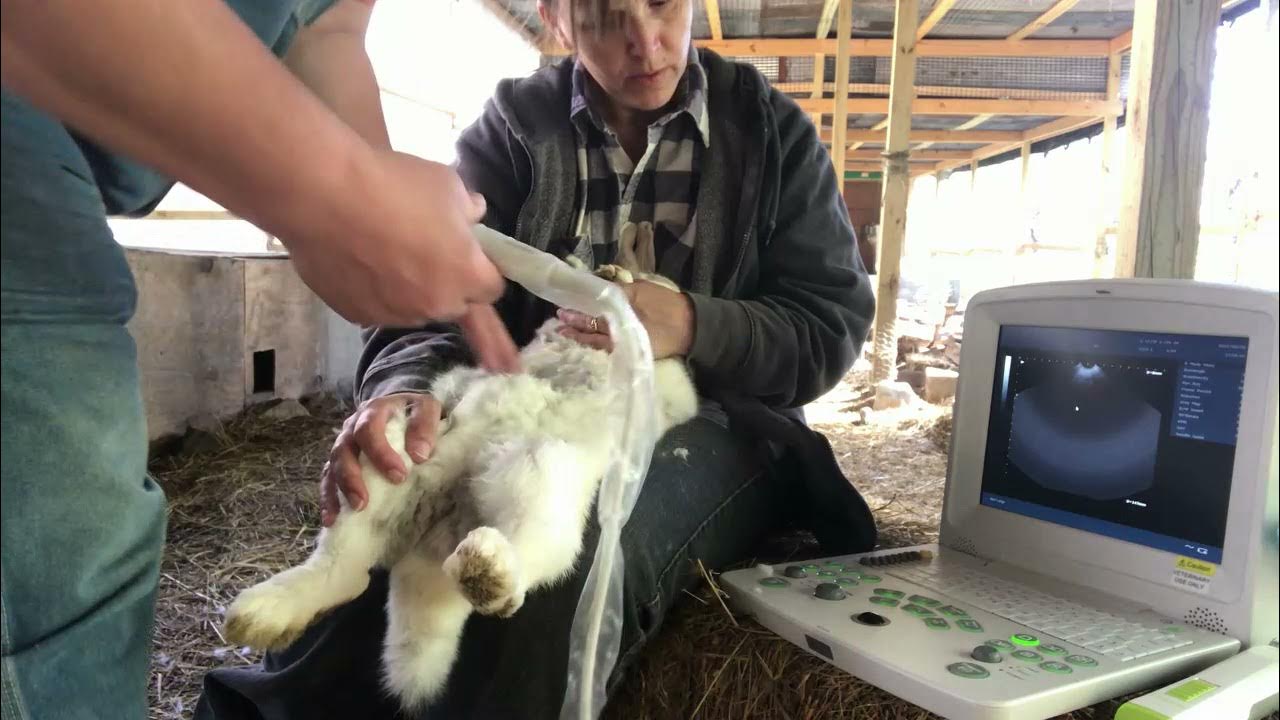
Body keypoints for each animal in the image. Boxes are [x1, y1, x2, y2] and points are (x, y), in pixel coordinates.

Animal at [222, 258, 699, 710]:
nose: (608, 273)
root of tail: (444, 520)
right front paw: (608, 275)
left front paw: (618, 279)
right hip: (389, 459)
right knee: (343, 569)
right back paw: (258, 616)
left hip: (538, 471)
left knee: (524, 557)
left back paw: (484, 570)